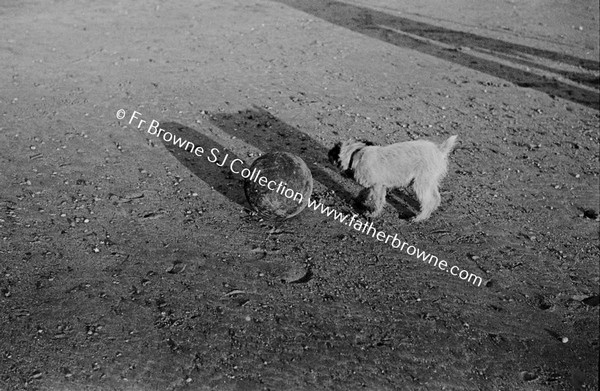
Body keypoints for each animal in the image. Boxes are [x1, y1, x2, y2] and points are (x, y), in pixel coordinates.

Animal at [330, 135, 458, 220]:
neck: (357, 153)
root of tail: (439, 151)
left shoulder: (378, 186)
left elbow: (378, 201)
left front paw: (373, 214)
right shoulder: (375, 185)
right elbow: (365, 192)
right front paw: (359, 200)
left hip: (420, 183)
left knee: (429, 201)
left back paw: (419, 218)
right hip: (429, 182)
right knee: (436, 198)